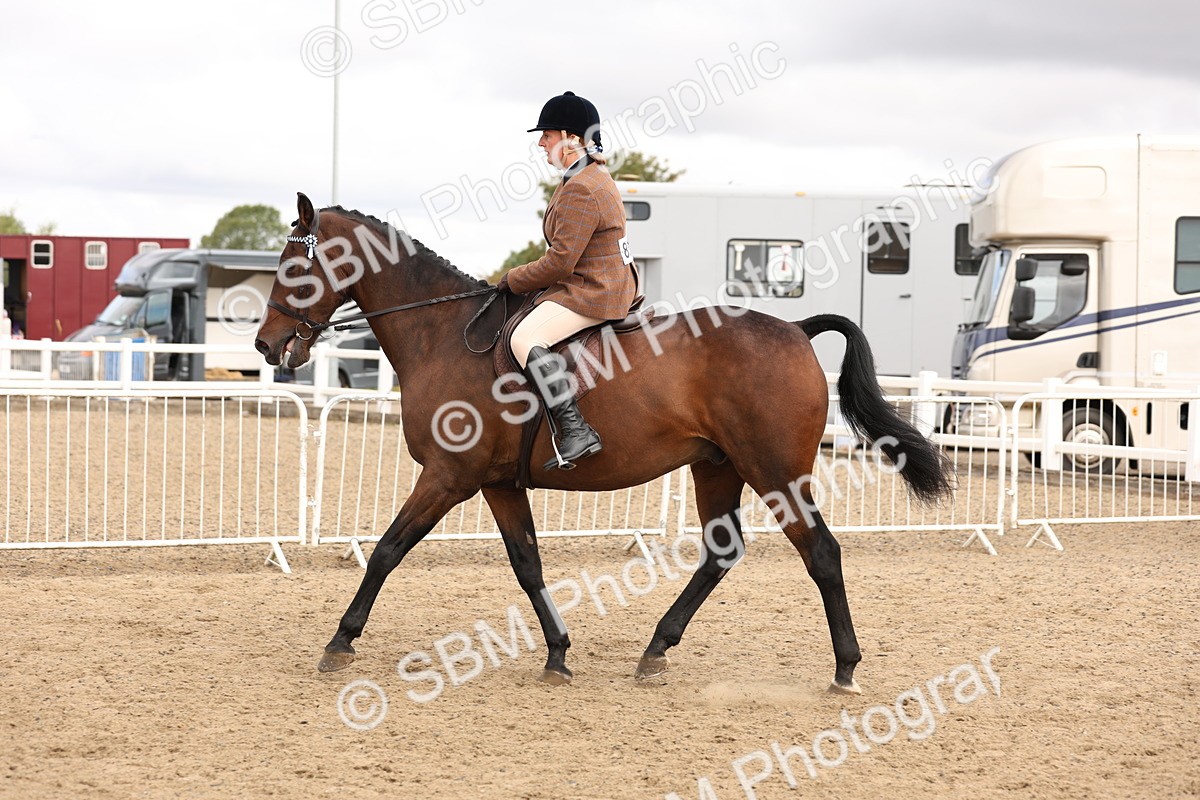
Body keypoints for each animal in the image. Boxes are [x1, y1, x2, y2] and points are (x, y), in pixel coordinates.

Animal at [255, 192, 952, 694]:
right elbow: (528, 564)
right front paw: (558, 655)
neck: (444, 334)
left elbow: (386, 551)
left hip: (775, 471)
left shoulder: (449, 477)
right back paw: (655, 649)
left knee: (822, 554)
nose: (266, 344)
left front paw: (340, 642)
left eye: (295, 265)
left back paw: (845, 669)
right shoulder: (496, 483)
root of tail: (796, 329)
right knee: (721, 553)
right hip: (718, 467)